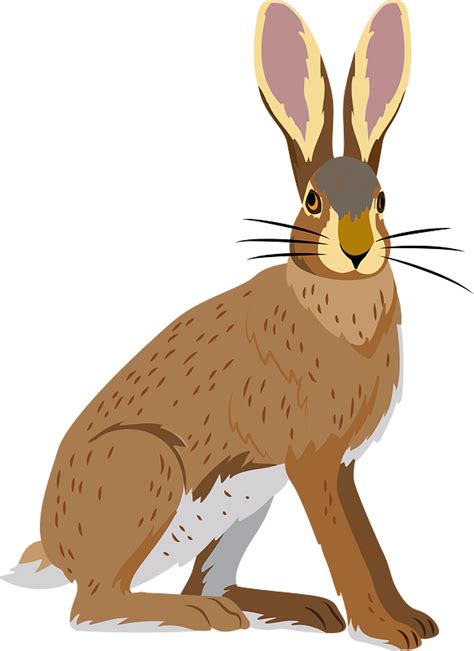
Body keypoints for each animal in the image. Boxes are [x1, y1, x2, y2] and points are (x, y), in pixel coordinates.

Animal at [2, 1, 440, 648]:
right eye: (312, 201)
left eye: (383, 201)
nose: (359, 252)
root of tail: (55, 551)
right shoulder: (314, 462)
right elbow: (346, 547)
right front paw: (386, 628)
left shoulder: (341, 468)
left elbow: (369, 543)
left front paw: (411, 619)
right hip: (149, 469)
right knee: (95, 605)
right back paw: (201, 616)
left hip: (245, 503)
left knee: (203, 580)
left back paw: (292, 608)